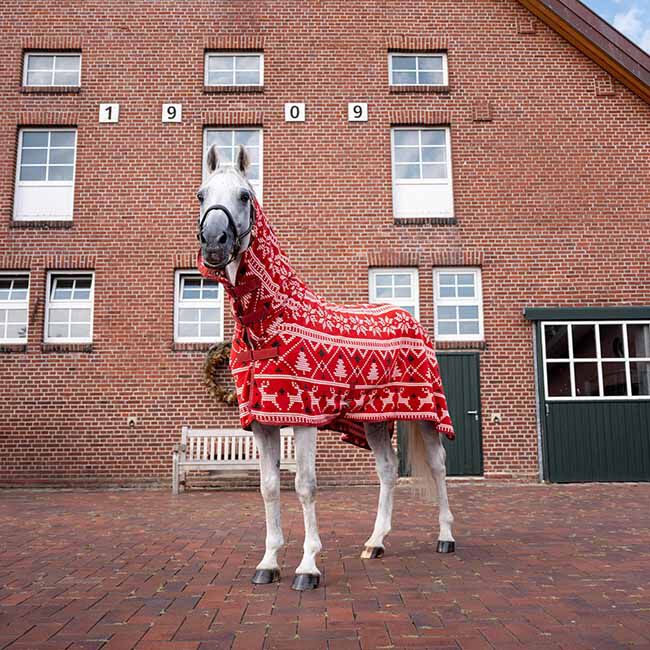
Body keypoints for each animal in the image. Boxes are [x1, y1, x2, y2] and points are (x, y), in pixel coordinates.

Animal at [195, 144, 456, 591]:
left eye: (245, 195)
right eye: (201, 195)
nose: (214, 241)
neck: (270, 320)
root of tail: (411, 320)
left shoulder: (304, 419)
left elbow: (305, 486)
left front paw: (307, 567)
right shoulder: (263, 422)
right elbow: (268, 488)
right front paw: (268, 563)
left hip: (425, 414)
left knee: (438, 468)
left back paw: (445, 537)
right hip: (374, 420)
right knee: (388, 471)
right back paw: (375, 543)